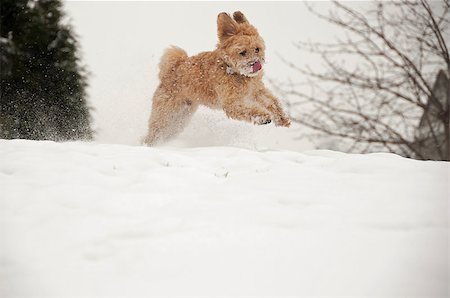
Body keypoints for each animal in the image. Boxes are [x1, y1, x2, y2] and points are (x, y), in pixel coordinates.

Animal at [144, 11, 292, 146]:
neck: (233, 70)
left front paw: (282, 119)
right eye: (242, 52)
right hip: (166, 115)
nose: (256, 64)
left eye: (257, 49)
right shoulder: (232, 103)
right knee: (153, 133)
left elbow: (272, 102)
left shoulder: (256, 91)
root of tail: (170, 72)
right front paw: (262, 117)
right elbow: (249, 109)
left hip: (180, 119)